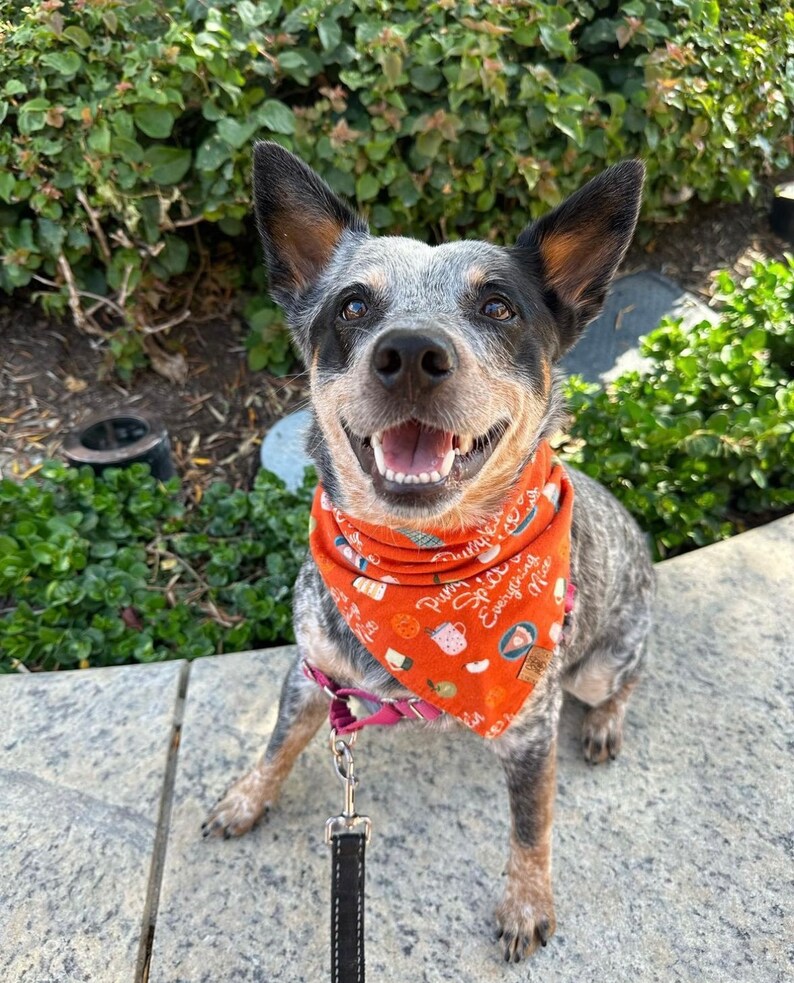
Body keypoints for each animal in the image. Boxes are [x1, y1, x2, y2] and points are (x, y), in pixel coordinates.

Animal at [201, 142, 652, 964]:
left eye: (499, 306)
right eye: (352, 306)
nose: (411, 351)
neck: (421, 571)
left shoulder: (530, 726)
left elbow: (531, 825)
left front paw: (526, 901)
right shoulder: (314, 672)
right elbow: (277, 744)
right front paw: (247, 796)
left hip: (602, 662)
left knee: (623, 682)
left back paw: (606, 722)